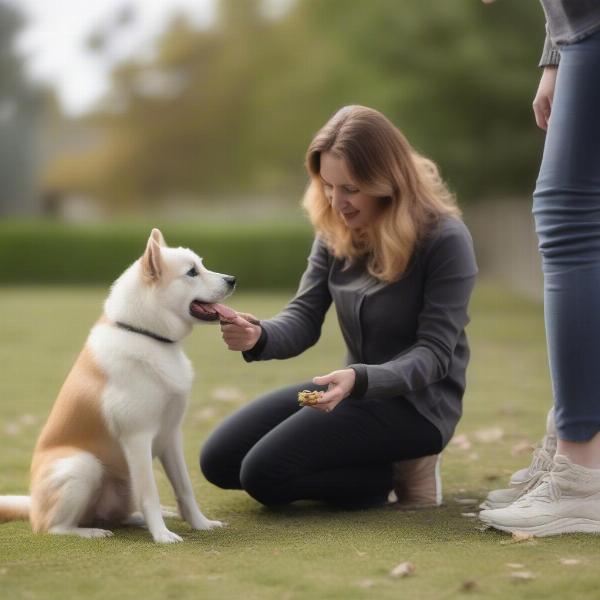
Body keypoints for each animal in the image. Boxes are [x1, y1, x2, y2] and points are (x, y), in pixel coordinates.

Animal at [0, 227, 239, 540]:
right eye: (191, 272)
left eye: (202, 264)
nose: (232, 279)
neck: (146, 334)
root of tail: (33, 506)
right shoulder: (138, 438)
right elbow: (151, 494)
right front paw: (162, 537)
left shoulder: (171, 435)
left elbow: (185, 488)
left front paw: (200, 523)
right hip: (83, 466)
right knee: (53, 527)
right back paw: (89, 532)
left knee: (118, 515)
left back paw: (139, 518)